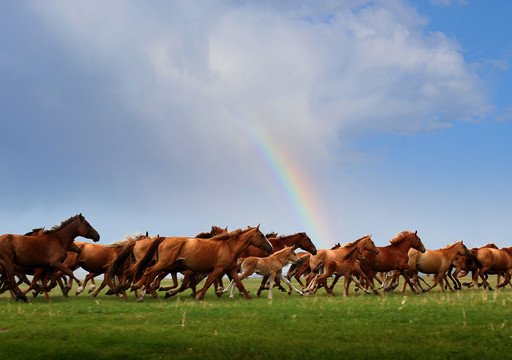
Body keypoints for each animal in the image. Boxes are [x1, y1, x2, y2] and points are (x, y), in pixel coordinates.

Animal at [134, 225, 274, 300]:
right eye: (261, 235)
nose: (271, 248)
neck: (229, 247)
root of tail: (163, 239)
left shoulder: (230, 270)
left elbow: (239, 282)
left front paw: (249, 298)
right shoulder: (217, 269)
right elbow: (207, 284)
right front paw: (199, 297)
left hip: (166, 265)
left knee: (150, 274)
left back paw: (143, 291)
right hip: (164, 264)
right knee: (148, 271)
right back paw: (139, 287)